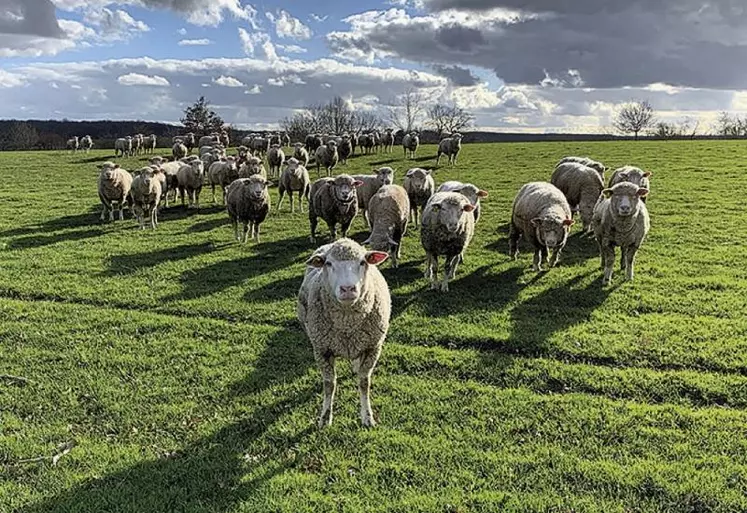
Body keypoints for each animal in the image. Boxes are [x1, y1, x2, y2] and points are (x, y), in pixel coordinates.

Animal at [296, 238, 392, 426]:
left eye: (362, 262)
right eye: (328, 263)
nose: (348, 289)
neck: (347, 323)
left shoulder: (373, 347)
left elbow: (364, 381)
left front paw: (367, 416)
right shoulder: (322, 350)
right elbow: (329, 385)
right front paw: (325, 417)